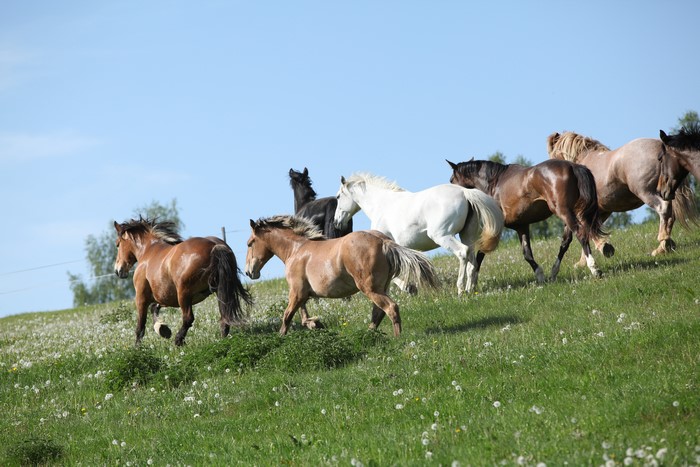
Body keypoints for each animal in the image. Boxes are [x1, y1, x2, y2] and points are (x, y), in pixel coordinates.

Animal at [114, 217, 252, 346]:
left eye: (117, 244)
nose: (118, 270)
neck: (149, 250)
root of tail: (214, 246)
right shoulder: (166, 298)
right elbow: (154, 308)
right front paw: (163, 329)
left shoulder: (141, 297)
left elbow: (140, 327)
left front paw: (138, 348)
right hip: (218, 290)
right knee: (224, 316)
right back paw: (222, 340)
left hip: (184, 294)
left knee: (188, 318)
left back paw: (178, 340)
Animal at [244, 215, 438, 337]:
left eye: (250, 243)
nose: (249, 272)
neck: (296, 250)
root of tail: (383, 241)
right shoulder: (303, 294)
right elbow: (302, 315)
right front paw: (315, 324)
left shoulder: (296, 292)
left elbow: (287, 316)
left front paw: (280, 337)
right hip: (382, 287)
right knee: (378, 313)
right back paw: (368, 335)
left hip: (369, 288)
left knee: (390, 308)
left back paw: (396, 338)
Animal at [332, 173, 504, 295]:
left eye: (338, 196)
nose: (336, 222)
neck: (382, 205)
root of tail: (464, 192)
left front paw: (409, 288)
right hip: (466, 235)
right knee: (472, 261)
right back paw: (470, 289)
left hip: (442, 236)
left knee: (462, 253)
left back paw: (460, 289)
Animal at [447, 159, 608, 282]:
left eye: (451, 180)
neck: (494, 183)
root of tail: (572, 166)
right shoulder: (522, 226)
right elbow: (527, 254)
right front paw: (540, 276)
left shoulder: (497, 228)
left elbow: (481, 252)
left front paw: (472, 280)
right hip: (570, 213)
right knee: (565, 242)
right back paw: (553, 272)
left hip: (563, 212)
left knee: (580, 234)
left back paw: (594, 269)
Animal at [548, 131, 698, 257]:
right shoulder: (603, 210)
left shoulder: (584, 211)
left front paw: (603, 248)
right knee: (671, 215)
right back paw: (664, 246)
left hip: (646, 192)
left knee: (664, 209)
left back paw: (663, 243)